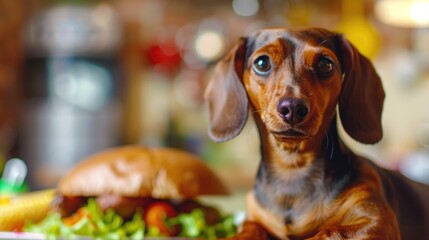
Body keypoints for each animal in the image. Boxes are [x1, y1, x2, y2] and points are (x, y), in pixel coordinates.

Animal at [204, 27, 428, 239]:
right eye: (261, 63)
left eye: (325, 64)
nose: (293, 108)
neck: (292, 168)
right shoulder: (253, 218)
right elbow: (249, 230)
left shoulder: (376, 221)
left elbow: (331, 231)